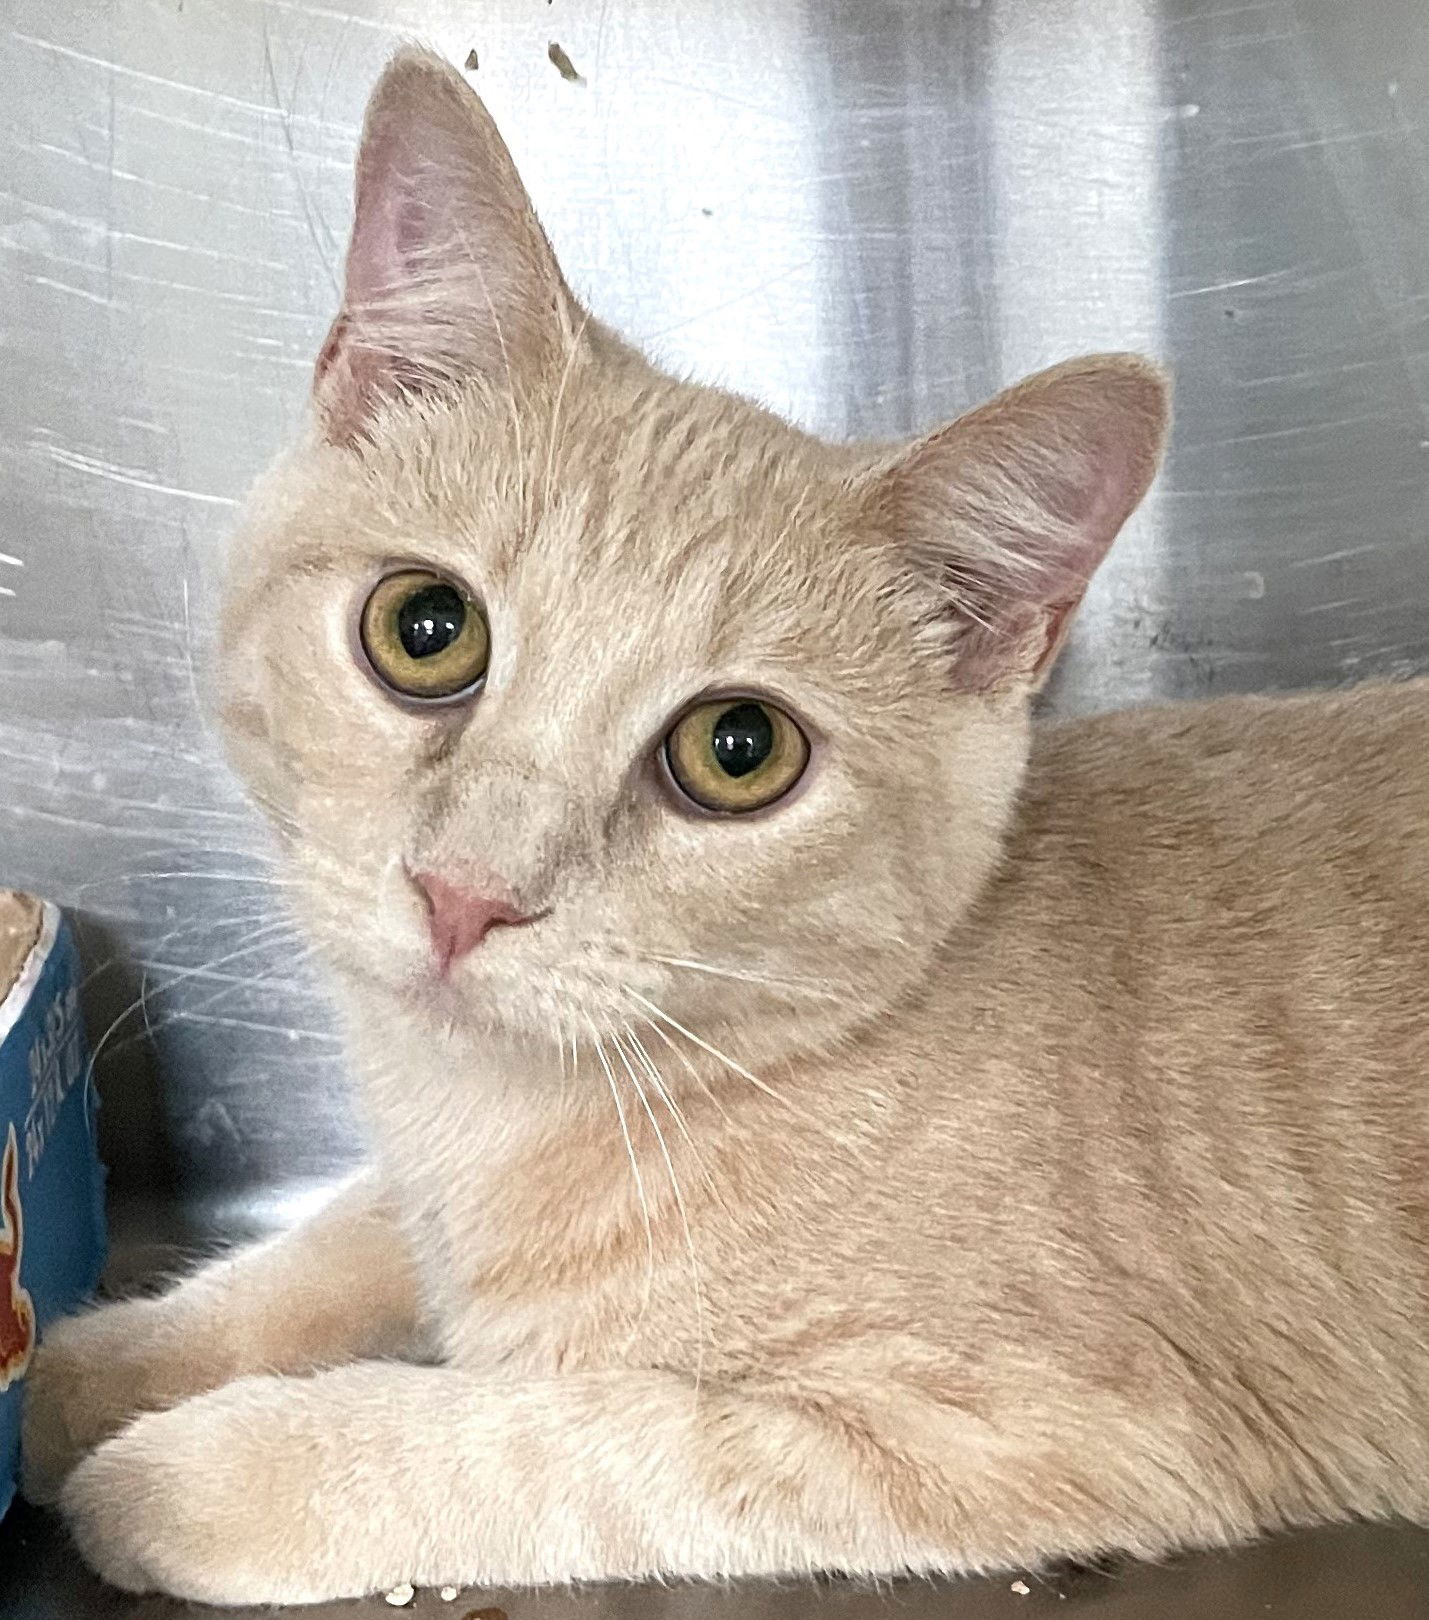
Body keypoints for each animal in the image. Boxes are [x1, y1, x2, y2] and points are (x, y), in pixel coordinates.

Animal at [21, 44, 1429, 1607]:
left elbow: (555, 1437)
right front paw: (96, 1363)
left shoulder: (1026, 1433)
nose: (464, 895)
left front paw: (221, 1467)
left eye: (738, 752)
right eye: (425, 629)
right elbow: (338, 1240)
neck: (494, 1117)